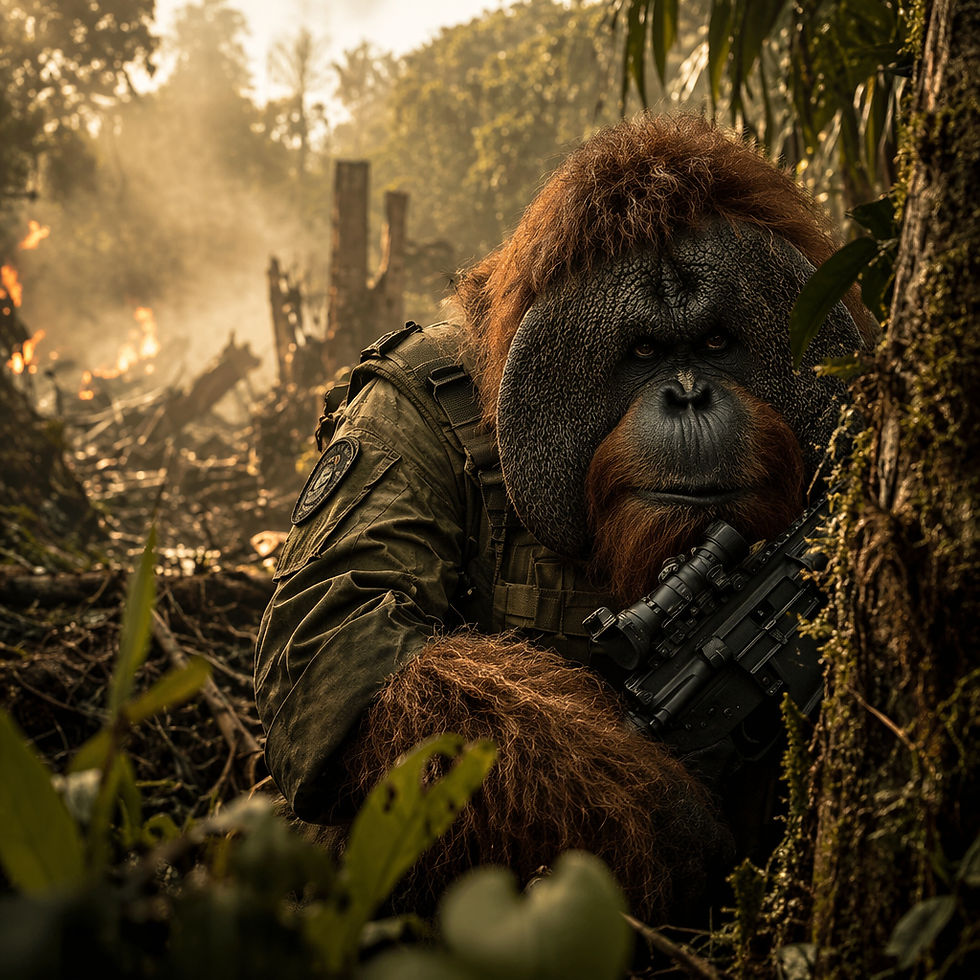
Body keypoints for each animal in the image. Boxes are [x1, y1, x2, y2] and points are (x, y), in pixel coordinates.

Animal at [254, 114, 871, 922]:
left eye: (714, 344)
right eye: (643, 351)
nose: (689, 394)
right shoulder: (398, 399)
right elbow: (335, 632)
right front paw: (660, 817)